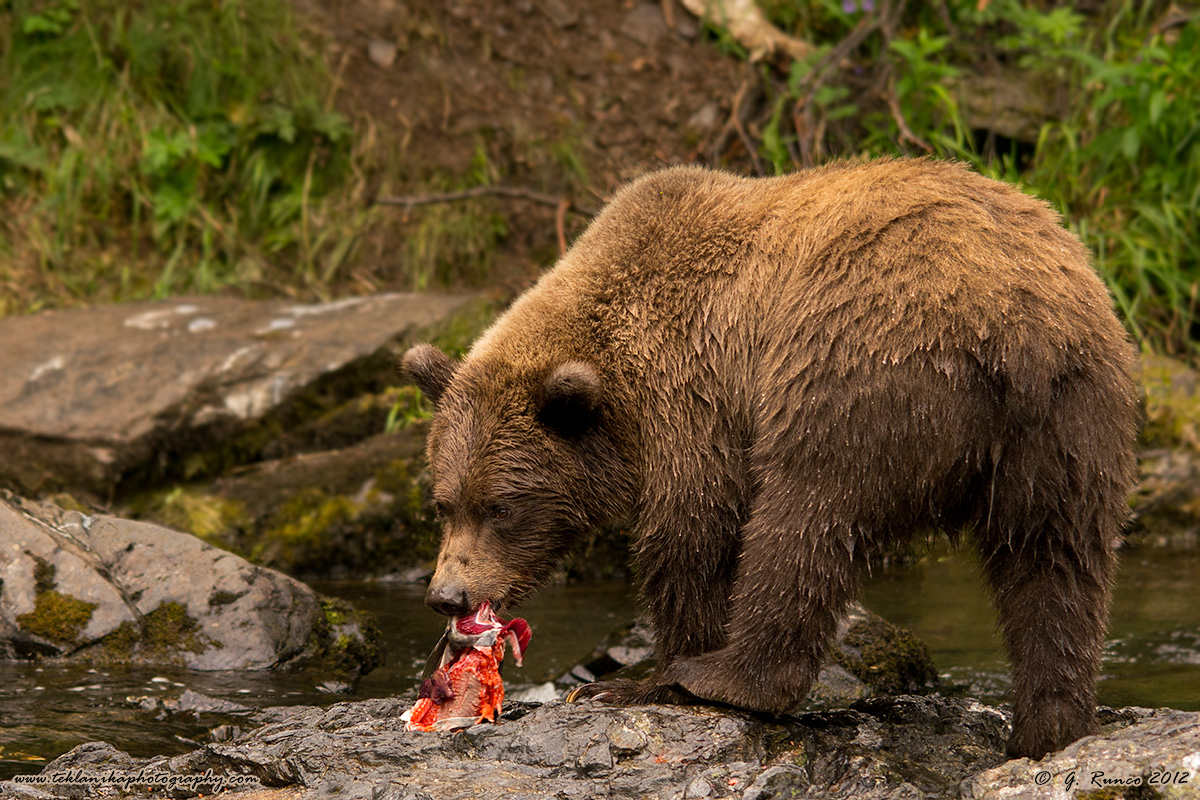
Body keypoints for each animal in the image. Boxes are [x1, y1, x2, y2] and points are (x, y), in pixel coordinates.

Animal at [401, 158, 1139, 760]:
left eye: (501, 507)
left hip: (858, 370)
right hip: (1072, 421)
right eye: (444, 503)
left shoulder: (694, 385)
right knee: (1057, 562)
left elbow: (693, 528)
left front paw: (641, 679)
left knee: (804, 518)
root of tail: (1015, 326)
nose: (447, 596)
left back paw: (726, 678)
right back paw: (1050, 728)